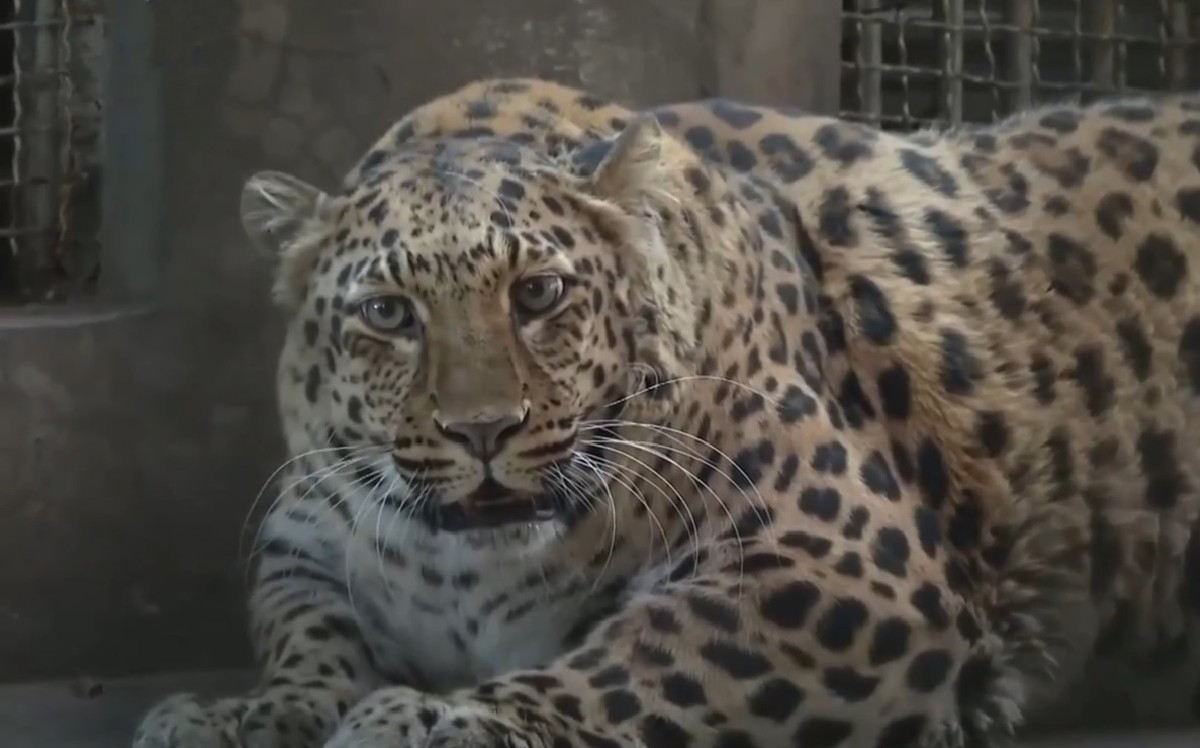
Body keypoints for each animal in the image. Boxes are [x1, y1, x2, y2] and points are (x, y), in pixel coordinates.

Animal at [133, 77, 1200, 748]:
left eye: (540, 294)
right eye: (389, 315)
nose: (483, 432)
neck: (468, 574)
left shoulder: (844, 566)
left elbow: (644, 659)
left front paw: (433, 719)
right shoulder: (307, 533)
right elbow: (307, 630)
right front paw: (246, 715)